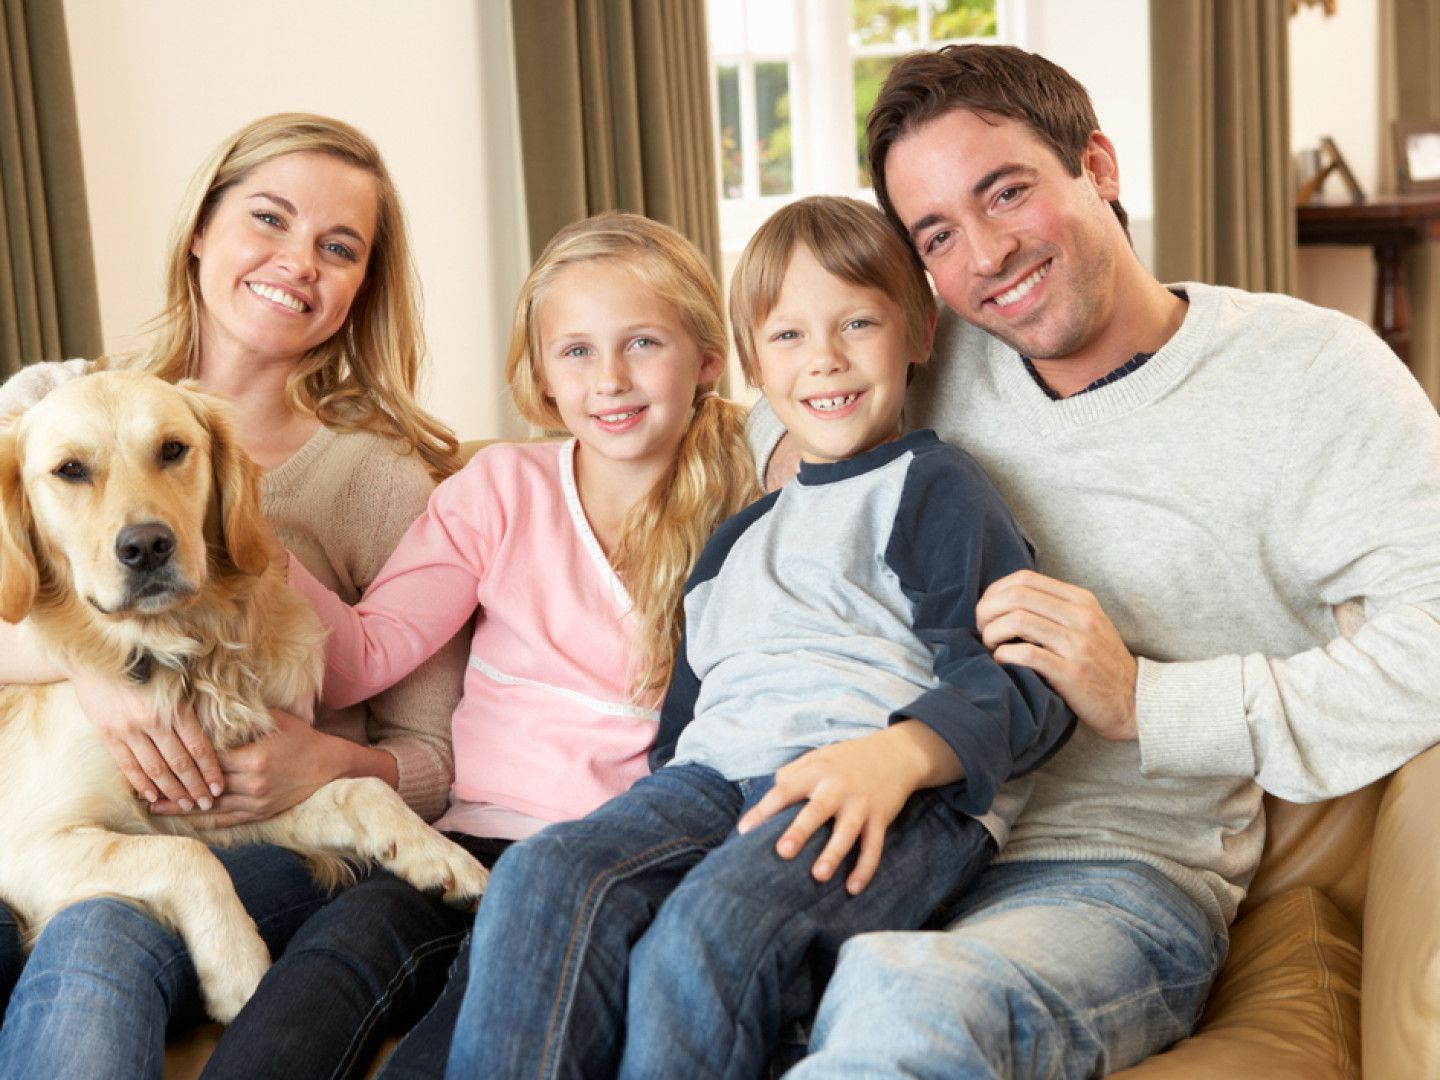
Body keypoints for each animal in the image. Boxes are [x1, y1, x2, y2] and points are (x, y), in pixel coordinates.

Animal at [0, 371, 486, 1025]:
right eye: (70, 470)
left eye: (173, 449)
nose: (147, 546)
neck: (187, 652)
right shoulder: (26, 844)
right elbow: (187, 859)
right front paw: (239, 971)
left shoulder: (231, 799)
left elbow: (361, 788)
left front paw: (439, 855)